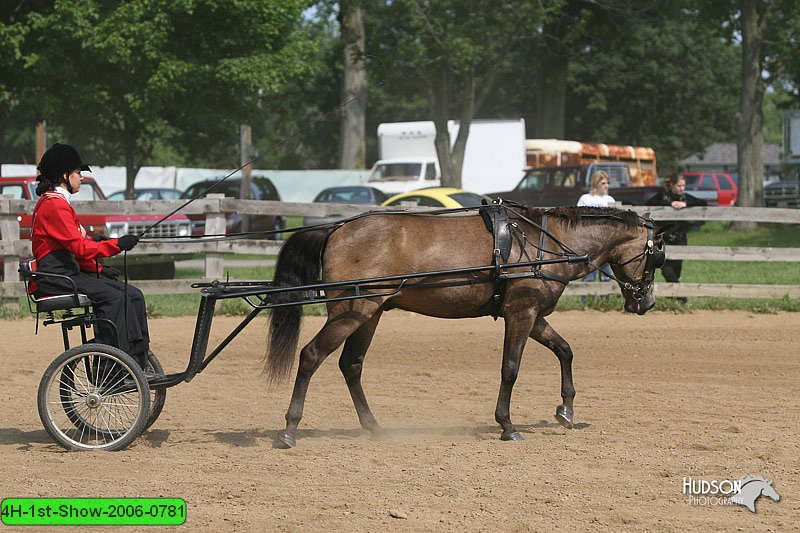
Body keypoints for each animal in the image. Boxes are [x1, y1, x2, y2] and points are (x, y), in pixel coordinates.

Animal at [264, 206, 664, 446]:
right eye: (655, 255)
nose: (645, 302)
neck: (546, 244)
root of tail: (337, 228)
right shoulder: (521, 313)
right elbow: (510, 369)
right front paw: (507, 425)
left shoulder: (532, 314)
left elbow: (564, 350)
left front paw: (565, 410)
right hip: (351, 310)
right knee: (311, 355)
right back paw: (289, 429)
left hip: (369, 313)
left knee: (351, 365)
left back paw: (373, 427)